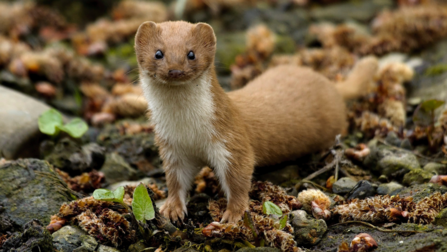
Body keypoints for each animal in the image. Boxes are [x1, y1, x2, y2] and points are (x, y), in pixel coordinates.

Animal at [134, 21, 378, 222]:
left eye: (191, 53)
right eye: (158, 53)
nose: (175, 70)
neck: (187, 130)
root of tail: (330, 85)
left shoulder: (231, 138)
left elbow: (239, 176)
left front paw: (233, 214)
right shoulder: (171, 147)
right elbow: (175, 181)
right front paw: (172, 208)